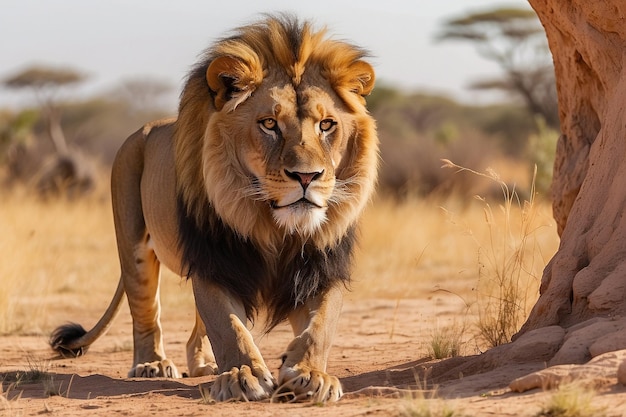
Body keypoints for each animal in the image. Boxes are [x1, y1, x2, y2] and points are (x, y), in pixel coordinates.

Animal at [48, 16, 376, 404]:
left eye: (326, 125)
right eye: (269, 124)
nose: (306, 176)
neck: (274, 227)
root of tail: (147, 127)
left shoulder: (321, 267)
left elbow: (321, 326)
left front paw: (310, 374)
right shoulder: (215, 262)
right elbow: (228, 326)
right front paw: (243, 375)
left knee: (196, 330)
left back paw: (204, 364)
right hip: (134, 243)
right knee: (145, 309)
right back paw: (152, 364)